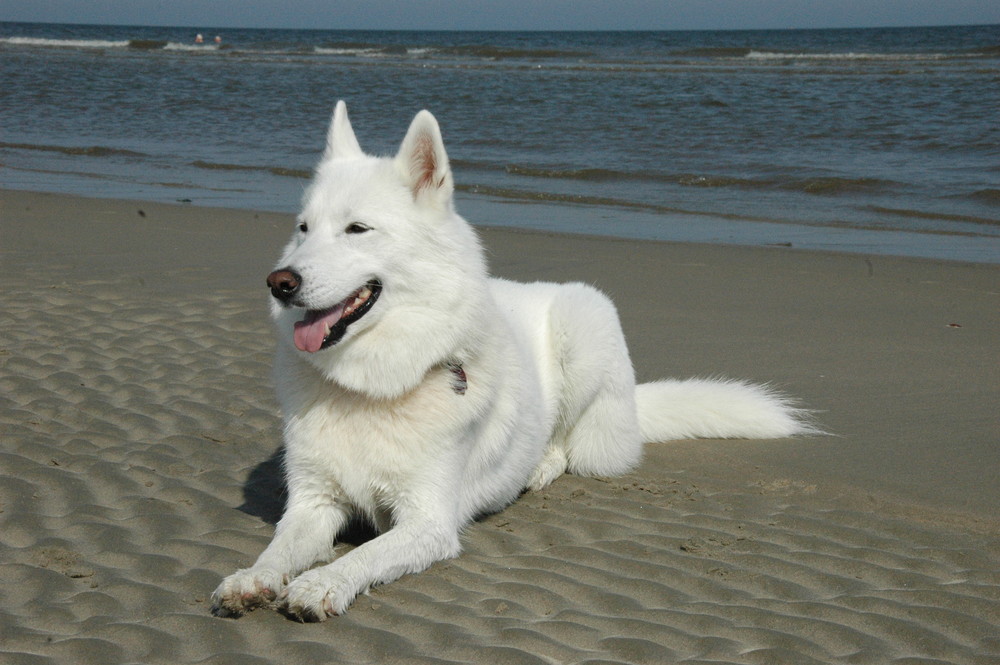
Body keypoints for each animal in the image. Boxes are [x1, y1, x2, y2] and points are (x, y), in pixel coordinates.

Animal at [213, 101, 812, 620]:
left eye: (358, 229)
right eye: (303, 229)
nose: (279, 282)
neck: (371, 386)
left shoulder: (428, 521)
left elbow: (362, 555)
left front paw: (321, 584)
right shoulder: (312, 503)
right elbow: (278, 547)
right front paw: (251, 578)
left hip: (584, 328)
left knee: (569, 446)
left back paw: (540, 466)